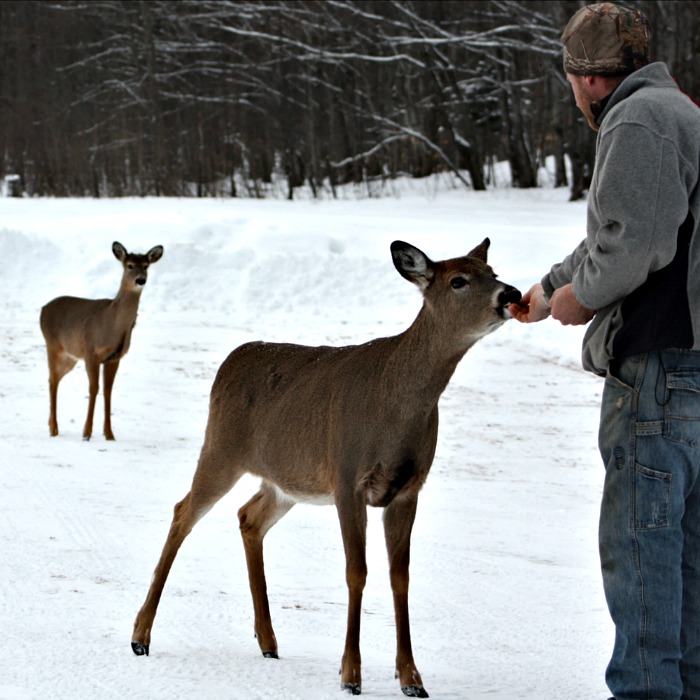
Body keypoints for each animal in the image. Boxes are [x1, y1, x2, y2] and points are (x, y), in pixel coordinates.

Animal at [39, 241, 164, 438]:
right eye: (129, 265)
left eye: (146, 266)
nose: (140, 280)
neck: (112, 324)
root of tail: (43, 309)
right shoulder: (91, 352)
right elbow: (94, 388)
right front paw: (87, 432)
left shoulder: (114, 358)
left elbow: (108, 391)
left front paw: (109, 434)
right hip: (53, 346)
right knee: (52, 380)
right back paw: (54, 429)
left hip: (70, 357)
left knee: (54, 379)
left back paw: (51, 425)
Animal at [130, 239, 520, 696]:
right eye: (459, 280)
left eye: (492, 271)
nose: (511, 293)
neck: (396, 404)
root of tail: (228, 362)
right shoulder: (348, 477)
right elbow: (357, 572)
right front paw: (351, 675)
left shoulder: (407, 488)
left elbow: (400, 577)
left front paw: (411, 678)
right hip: (221, 449)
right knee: (183, 513)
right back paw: (141, 636)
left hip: (286, 482)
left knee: (248, 516)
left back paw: (268, 642)